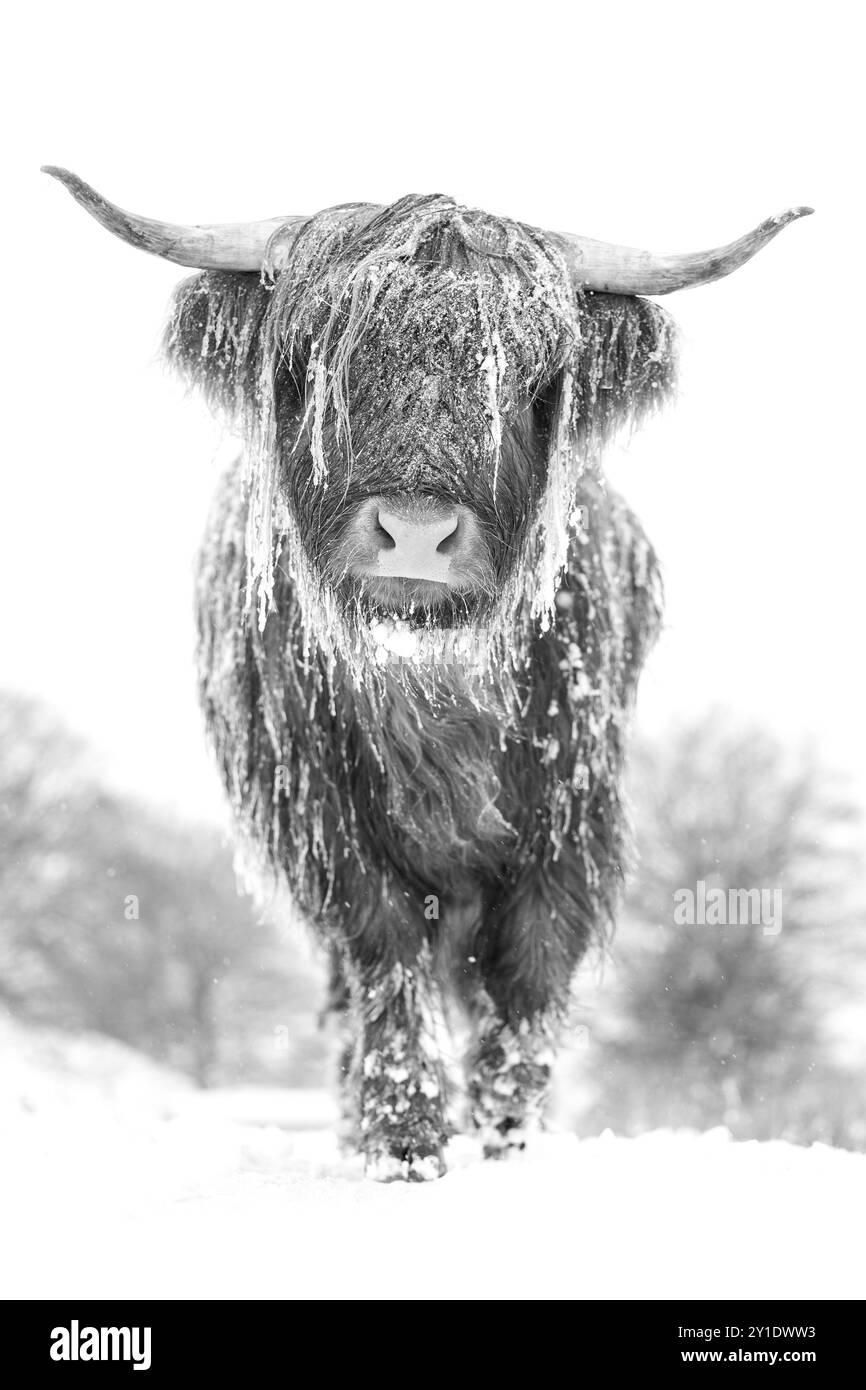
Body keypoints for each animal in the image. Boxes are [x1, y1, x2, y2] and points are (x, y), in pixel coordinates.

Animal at [44, 168, 817, 1178]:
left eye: (528, 381)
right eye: (317, 365)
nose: (416, 533)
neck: (431, 675)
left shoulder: (572, 818)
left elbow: (529, 971)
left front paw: (508, 1141)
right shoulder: (323, 819)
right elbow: (386, 952)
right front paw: (404, 1141)